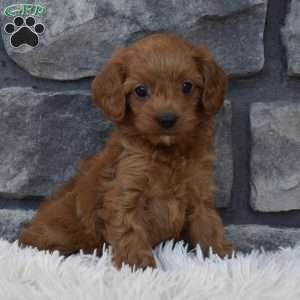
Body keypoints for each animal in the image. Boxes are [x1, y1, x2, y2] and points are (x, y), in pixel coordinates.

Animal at [18, 34, 233, 268]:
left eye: (187, 86)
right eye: (140, 90)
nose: (167, 119)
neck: (167, 151)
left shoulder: (199, 191)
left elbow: (209, 226)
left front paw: (222, 257)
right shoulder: (124, 192)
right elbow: (129, 230)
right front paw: (139, 266)